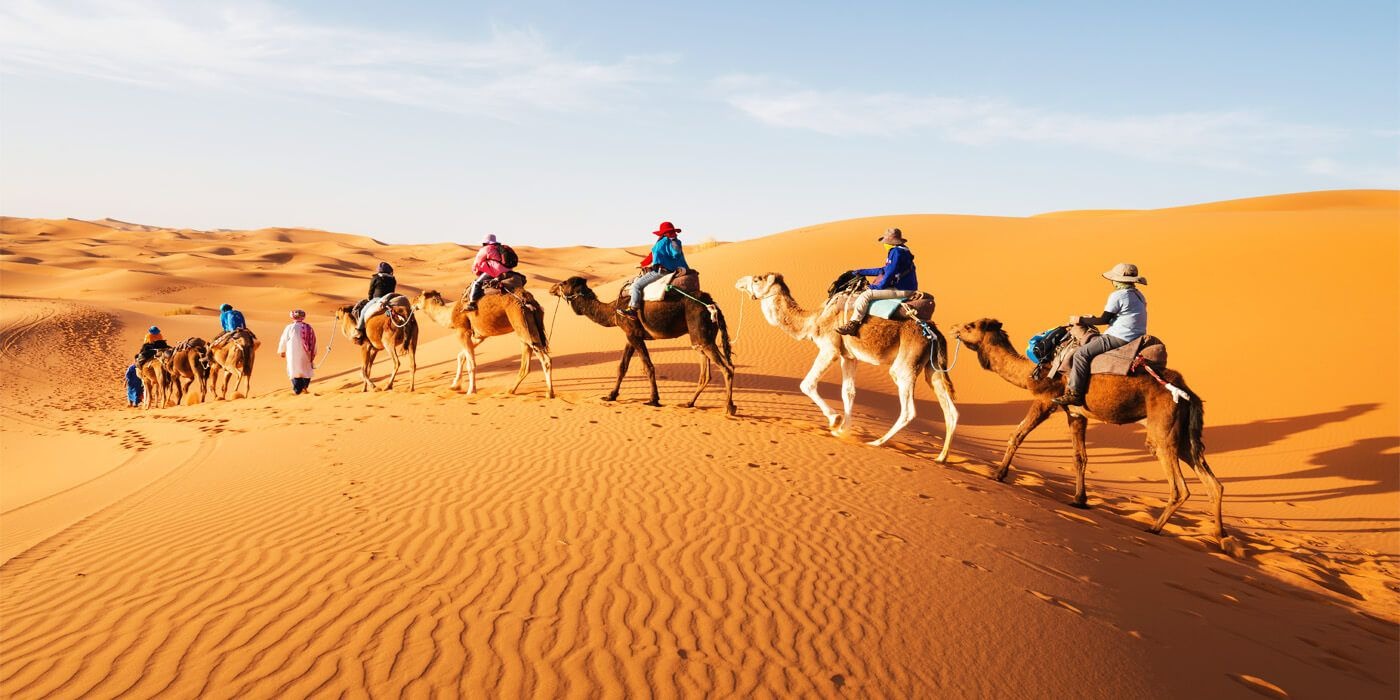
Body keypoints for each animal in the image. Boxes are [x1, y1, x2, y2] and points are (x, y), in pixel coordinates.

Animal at [408, 289, 551, 397]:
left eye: (419, 296)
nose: (412, 302)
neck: (450, 313)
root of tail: (529, 300)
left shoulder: (462, 331)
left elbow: (471, 364)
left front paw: (471, 391)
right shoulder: (480, 335)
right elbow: (461, 356)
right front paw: (455, 385)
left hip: (521, 323)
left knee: (545, 359)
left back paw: (549, 393)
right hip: (528, 328)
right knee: (527, 362)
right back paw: (511, 390)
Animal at [548, 274, 739, 414]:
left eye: (563, 283)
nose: (551, 289)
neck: (613, 310)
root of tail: (713, 304)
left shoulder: (633, 334)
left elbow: (648, 366)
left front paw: (653, 399)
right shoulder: (630, 336)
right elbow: (622, 367)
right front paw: (611, 396)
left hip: (701, 335)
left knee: (727, 367)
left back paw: (729, 407)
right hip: (702, 338)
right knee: (707, 372)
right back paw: (689, 403)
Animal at [733, 274, 963, 464]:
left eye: (757, 279)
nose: (738, 281)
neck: (814, 320)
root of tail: (934, 332)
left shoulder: (830, 349)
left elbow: (807, 384)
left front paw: (835, 422)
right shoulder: (849, 356)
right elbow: (848, 392)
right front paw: (844, 431)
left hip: (906, 363)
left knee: (908, 410)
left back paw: (877, 442)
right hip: (932, 367)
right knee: (950, 409)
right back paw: (941, 457)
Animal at [946, 317, 1220, 540]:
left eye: (970, 326)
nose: (952, 327)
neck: (1033, 371)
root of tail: (1188, 393)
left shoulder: (1046, 399)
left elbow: (1017, 434)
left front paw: (998, 474)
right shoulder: (1076, 412)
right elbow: (1080, 457)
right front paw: (1079, 499)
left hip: (1162, 430)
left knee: (1179, 487)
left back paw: (1154, 528)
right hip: (1183, 436)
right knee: (1212, 483)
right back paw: (1220, 539)